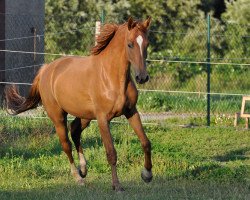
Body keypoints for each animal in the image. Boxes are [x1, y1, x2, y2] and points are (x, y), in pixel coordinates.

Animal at [4, 16, 151, 191]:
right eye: (130, 44)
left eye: (147, 44)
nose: (142, 77)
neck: (111, 77)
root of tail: (46, 70)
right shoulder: (103, 119)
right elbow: (111, 152)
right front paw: (117, 185)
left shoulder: (131, 112)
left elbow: (146, 142)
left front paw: (147, 175)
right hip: (58, 117)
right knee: (66, 143)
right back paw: (78, 177)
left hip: (85, 116)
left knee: (74, 130)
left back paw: (83, 169)